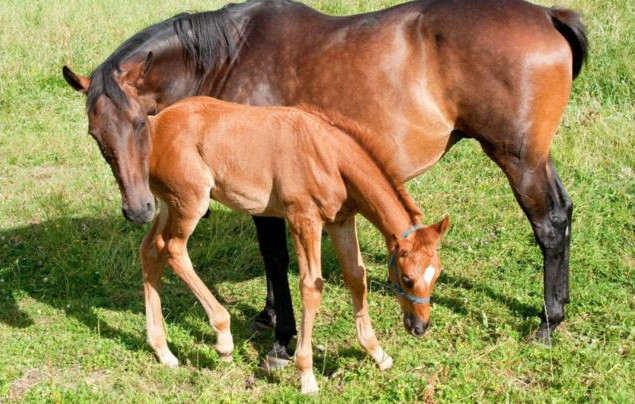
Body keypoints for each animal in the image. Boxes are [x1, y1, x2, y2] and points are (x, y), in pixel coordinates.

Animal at [62, 0, 588, 362]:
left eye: (140, 125)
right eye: (95, 133)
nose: (138, 209)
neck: (232, 56)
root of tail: (548, 15)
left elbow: (275, 259)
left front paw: (281, 341)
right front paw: (270, 315)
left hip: (519, 159)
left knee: (549, 223)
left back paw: (548, 321)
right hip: (535, 158)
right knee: (563, 214)